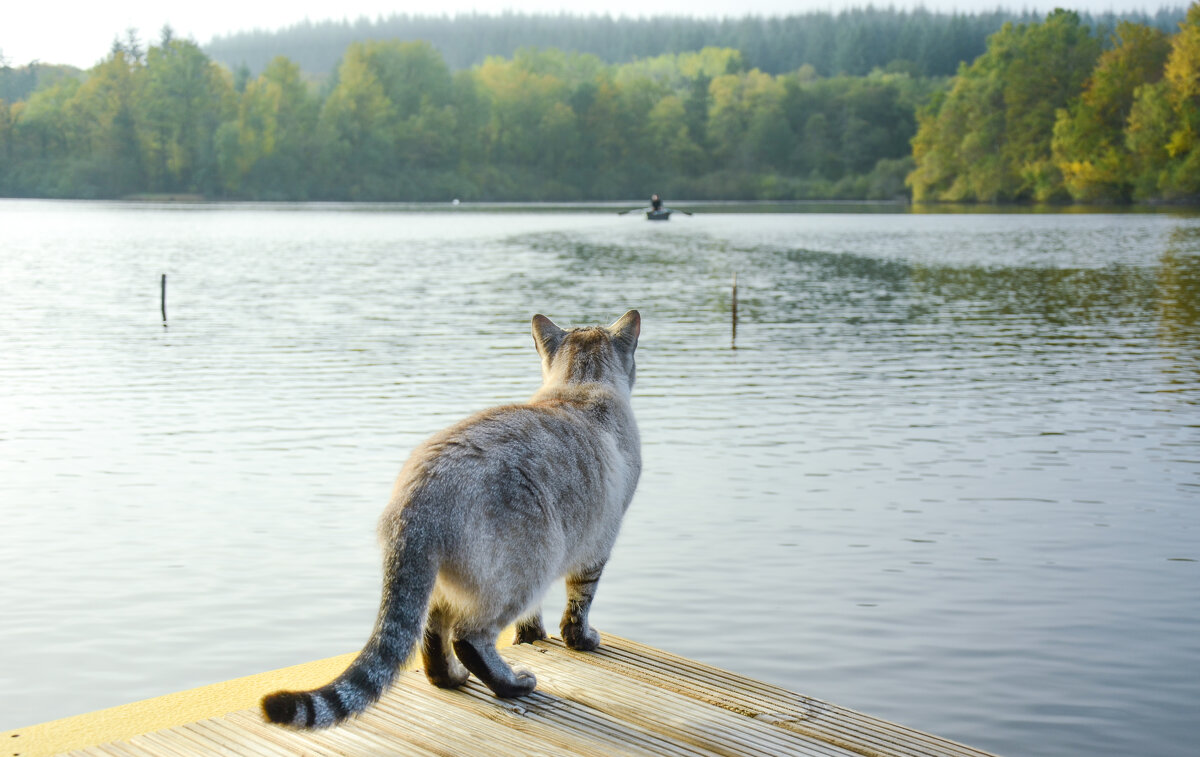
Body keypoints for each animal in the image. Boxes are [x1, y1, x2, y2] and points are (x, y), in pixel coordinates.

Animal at [259, 309, 643, 729]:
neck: (579, 386)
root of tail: (417, 500)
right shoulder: (597, 547)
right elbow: (578, 607)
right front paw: (580, 642)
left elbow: (532, 624)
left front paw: (533, 638)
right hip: (531, 570)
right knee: (467, 637)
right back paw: (513, 685)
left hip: (443, 583)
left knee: (430, 635)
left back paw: (451, 680)